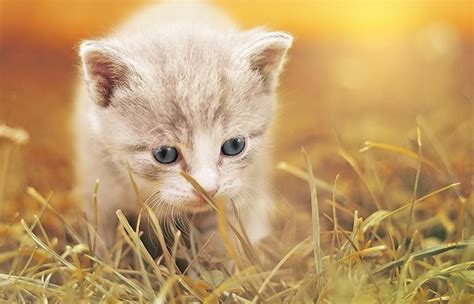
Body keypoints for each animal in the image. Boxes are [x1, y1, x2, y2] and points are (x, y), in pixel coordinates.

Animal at [73, 1, 292, 254]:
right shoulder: (99, 182)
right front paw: (103, 257)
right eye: (165, 154)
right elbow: (103, 233)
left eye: (234, 146)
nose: (208, 189)